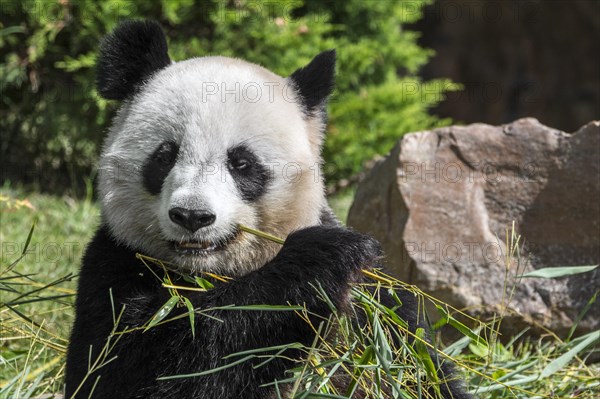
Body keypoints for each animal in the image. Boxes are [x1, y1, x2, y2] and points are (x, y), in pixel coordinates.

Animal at [64, 20, 468, 398]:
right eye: (164, 156)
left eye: (242, 163)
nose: (192, 216)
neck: (209, 273)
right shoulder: (115, 268)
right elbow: (142, 370)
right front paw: (321, 256)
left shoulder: (373, 300)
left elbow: (415, 368)